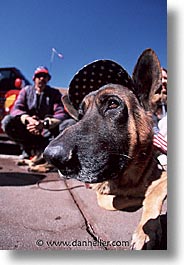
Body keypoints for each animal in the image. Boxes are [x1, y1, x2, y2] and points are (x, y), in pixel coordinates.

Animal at [43, 48, 167, 249]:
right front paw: (136, 199)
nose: (51, 156)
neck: (126, 179)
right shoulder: (102, 191)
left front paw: (145, 230)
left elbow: (153, 192)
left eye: (113, 104)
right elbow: (109, 201)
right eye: (80, 115)